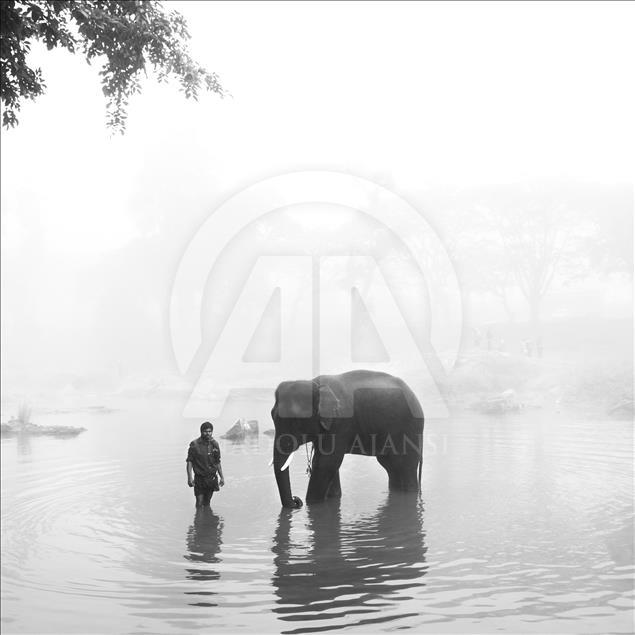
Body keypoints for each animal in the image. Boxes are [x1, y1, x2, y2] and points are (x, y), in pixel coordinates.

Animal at [270, 370, 424, 510]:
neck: (316, 385)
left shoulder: (340, 424)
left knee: (405, 466)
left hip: (409, 431)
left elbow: (327, 462)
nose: (296, 500)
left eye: (296, 420)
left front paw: (312, 503)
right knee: (392, 466)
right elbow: (326, 462)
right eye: (272, 416)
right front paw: (332, 497)